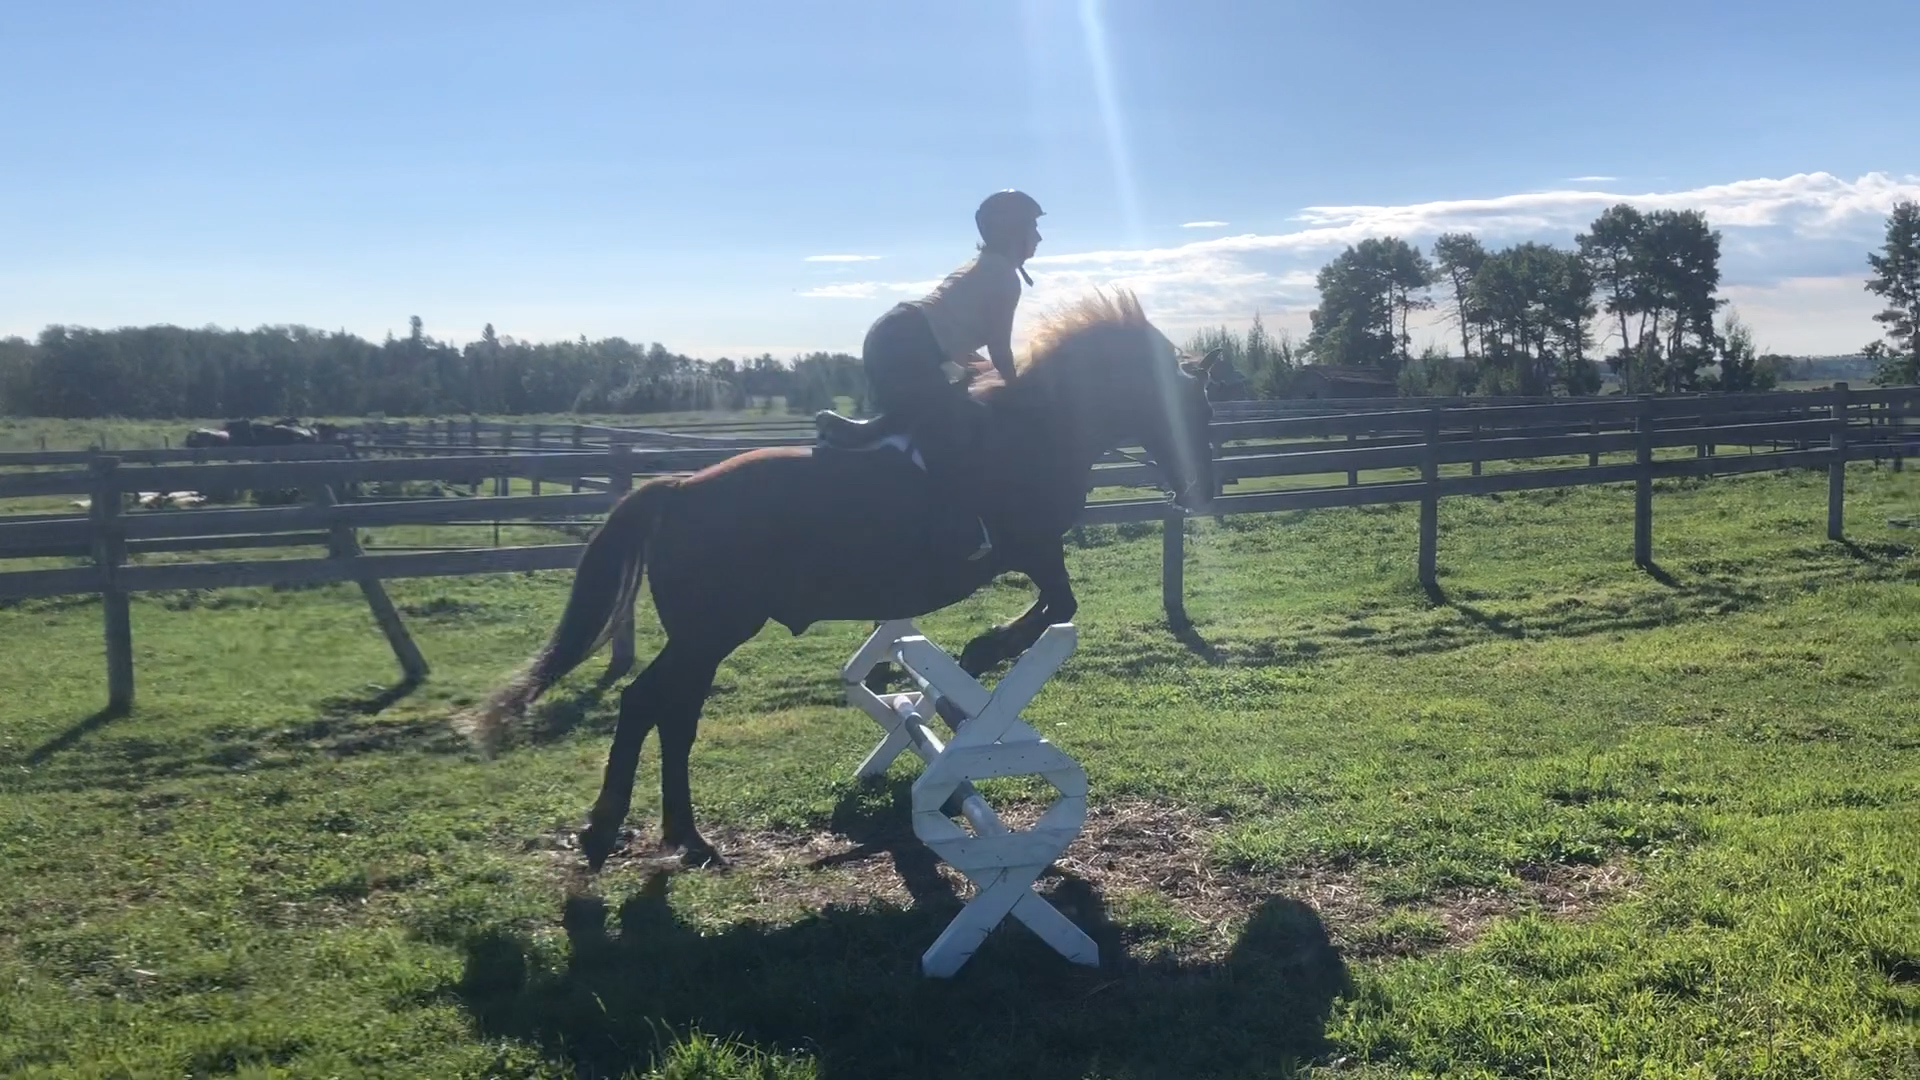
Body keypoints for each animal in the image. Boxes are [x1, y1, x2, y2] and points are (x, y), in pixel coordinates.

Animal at [461, 289, 1220, 870]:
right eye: (1196, 408)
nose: (1201, 490)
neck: (1039, 425)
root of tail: (675, 489)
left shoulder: (1032, 553)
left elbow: (1050, 607)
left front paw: (968, 667)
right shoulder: (1032, 549)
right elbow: (1057, 601)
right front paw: (979, 654)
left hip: (705, 640)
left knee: (673, 715)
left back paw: (683, 837)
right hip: (711, 633)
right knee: (648, 704)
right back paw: (615, 829)